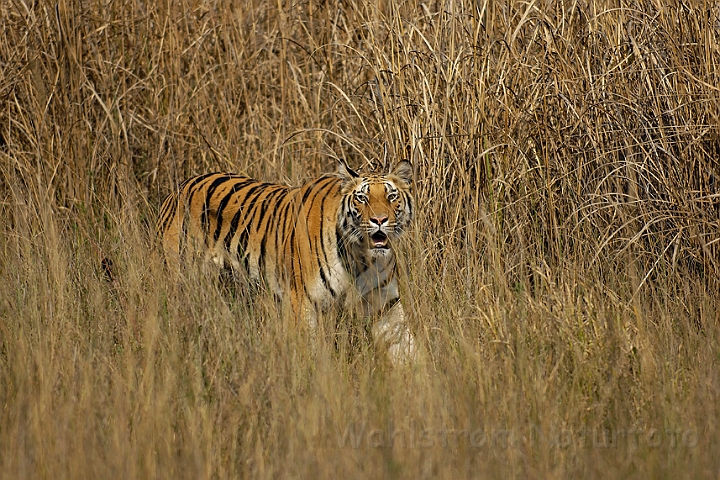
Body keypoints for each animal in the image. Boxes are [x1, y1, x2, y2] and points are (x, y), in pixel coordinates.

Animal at [156, 160, 416, 364]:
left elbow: (405, 345)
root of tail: (176, 190)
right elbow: (310, 352)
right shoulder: (301, 301)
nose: (379, 220)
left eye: (391, 196)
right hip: (180, 280)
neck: (360, 255)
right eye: (362, 198)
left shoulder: (385, 303)